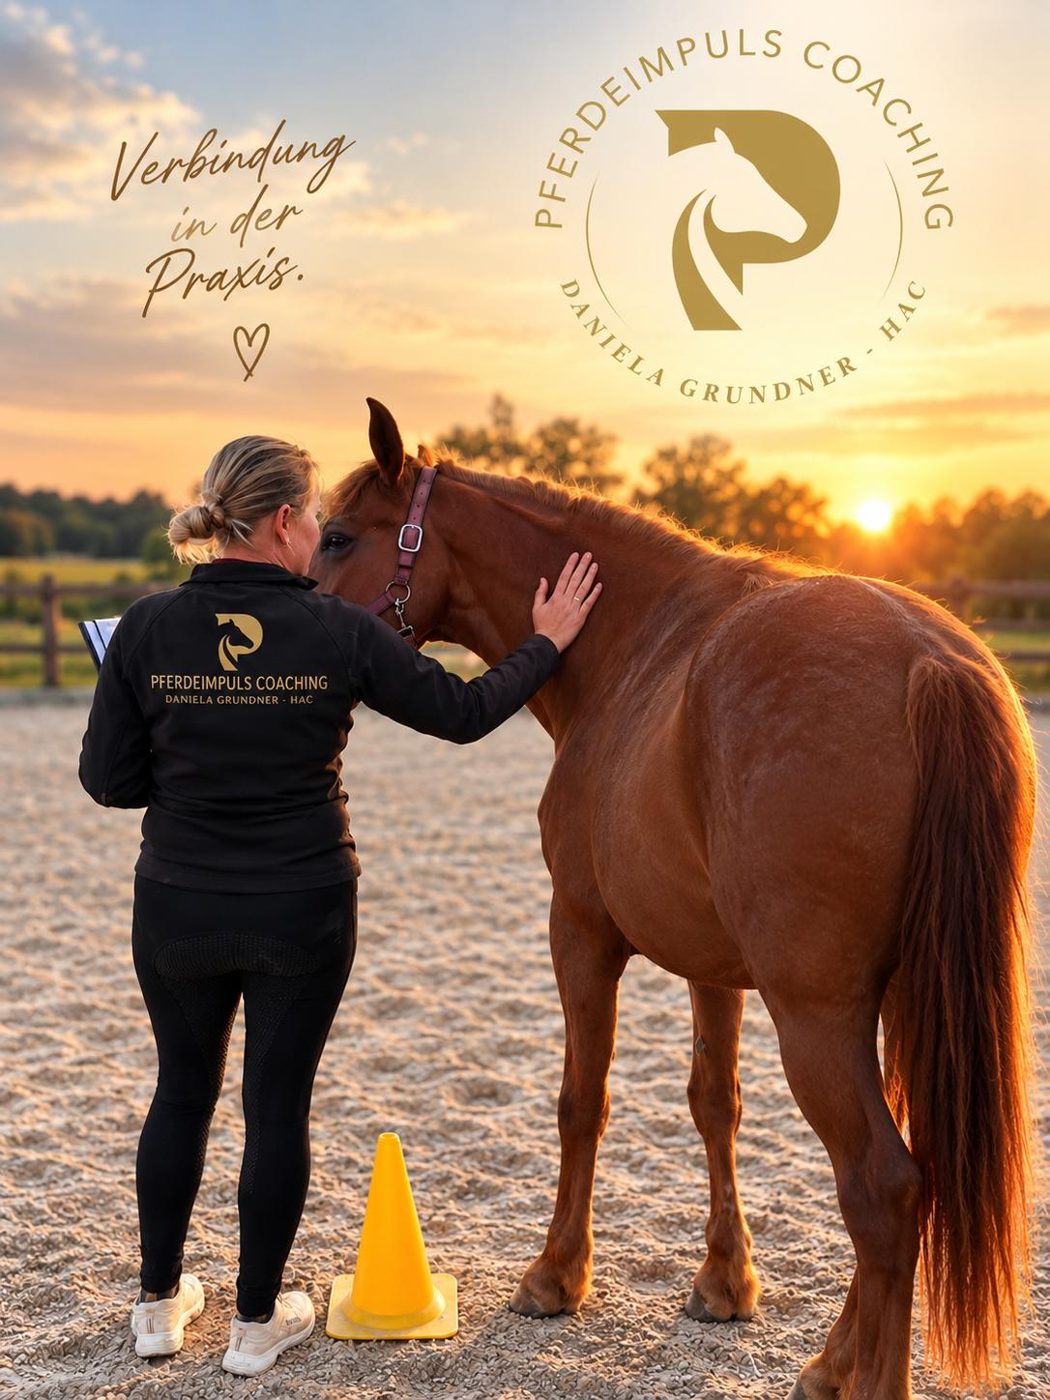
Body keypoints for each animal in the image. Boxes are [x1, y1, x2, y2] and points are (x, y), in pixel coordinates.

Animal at [309, 397, 1037, 1400]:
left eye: (340, 535)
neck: (630, 644)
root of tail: (928, 663)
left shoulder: (579, 932)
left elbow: (583, 1101)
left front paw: (555, 1277)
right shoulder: (713, 967)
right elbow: (712, 1102)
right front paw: (726, 1283)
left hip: (819, 1014)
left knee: (883, 1189)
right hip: (899, 1002)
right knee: (908, 1177)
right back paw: (830, 1360)